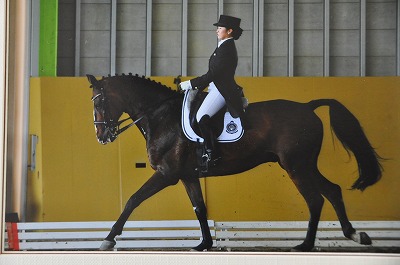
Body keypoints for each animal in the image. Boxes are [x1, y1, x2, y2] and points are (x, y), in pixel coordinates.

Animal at [86, 73, 382, 251]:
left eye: (99, 102)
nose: (101, 136)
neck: (161, 116)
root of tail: (308, 107)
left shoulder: (167, 174)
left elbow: (133, 199)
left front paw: (108, 239)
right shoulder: (187, 176)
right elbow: (200, 208)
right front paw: (204, 244)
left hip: (296, 165)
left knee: (315, 199)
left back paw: (306, 245)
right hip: (304, 164)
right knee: (332, 190)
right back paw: (355, 234)